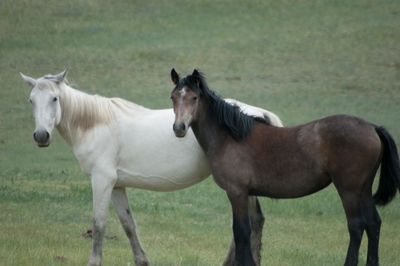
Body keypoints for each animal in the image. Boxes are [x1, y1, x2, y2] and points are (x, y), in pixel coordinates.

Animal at [20, 69, 282, 264]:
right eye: (31, 100)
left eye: (54, 98)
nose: (41, 136)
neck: (95, 123)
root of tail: (260, 114)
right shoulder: (116, 185)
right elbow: (128, 224)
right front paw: (142, 260)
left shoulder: (101, 181)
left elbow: (99, 224)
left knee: (251, 222)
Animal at [170, 69, 400, 266]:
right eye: (173, 97)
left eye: (194, 98)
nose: (179, 128)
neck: (230, 137)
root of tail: (373, 128)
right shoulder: (245, 193)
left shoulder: (237, 192)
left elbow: (242, 232)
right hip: (364, 189)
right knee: (373, 224)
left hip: (349, 190)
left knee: (356, 226)